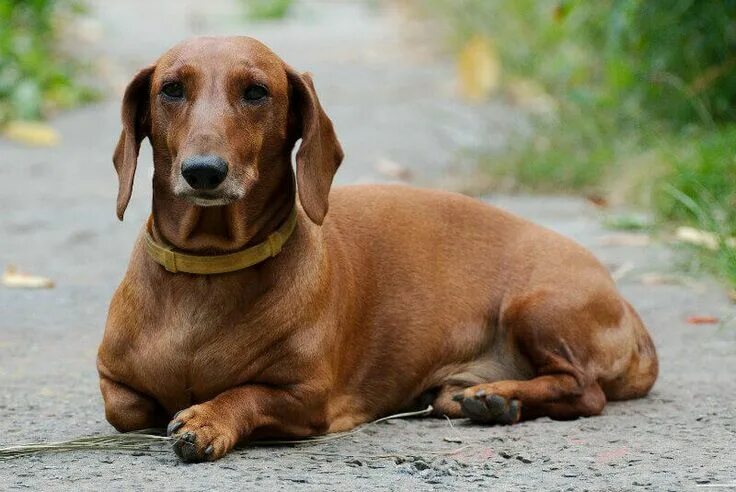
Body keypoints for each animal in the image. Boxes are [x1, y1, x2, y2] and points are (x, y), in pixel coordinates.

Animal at [96, 37, 656, 462]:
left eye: (256, 92)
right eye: (171, 89)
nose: (204, 172)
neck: (209, 269)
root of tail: (625, 303)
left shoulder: (307, 398)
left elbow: (247, 393)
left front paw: (209, 418)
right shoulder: (112, 382)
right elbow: (126, 409)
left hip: (535, 305)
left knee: (584, 389)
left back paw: (498, 397)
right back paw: (484, 398)